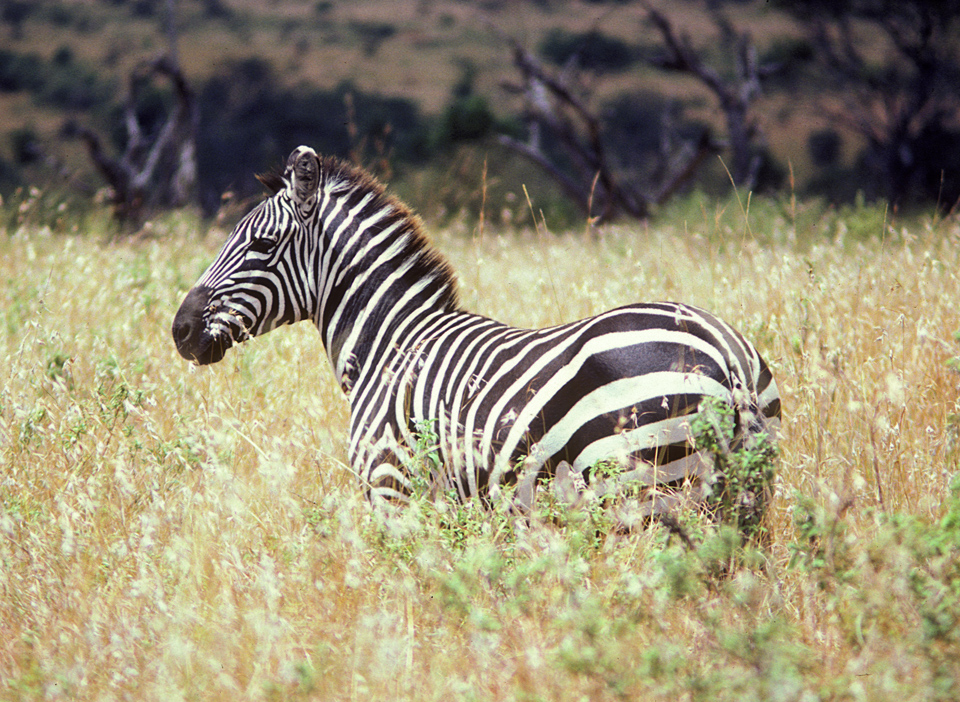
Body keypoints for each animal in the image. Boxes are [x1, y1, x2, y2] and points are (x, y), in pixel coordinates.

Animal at [172, 147, 780, 524]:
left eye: (263, 244)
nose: (181, 330)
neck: (389, 346)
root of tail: (727, 354)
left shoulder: (392, 488)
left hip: (642, 486)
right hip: (736, 497)